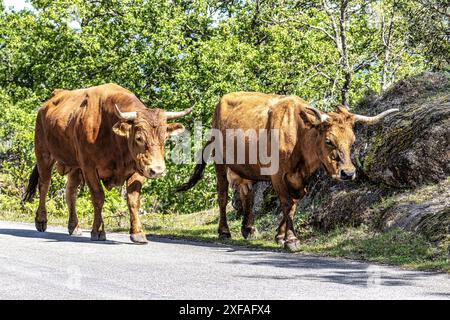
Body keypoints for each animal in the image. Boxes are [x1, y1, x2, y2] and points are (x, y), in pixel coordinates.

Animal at [22, 84, 192, 244]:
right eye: (139, 138)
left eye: (165, 138)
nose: (157, 170)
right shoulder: (89, 167)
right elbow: (98, 197)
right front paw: (98, 231)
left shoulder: (139, 168)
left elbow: (133, 200)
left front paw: (138, 233)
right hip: (43, 154)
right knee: (44, 185)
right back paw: (41, 220)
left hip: (75, 166)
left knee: (70, 191)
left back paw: (74, 226)